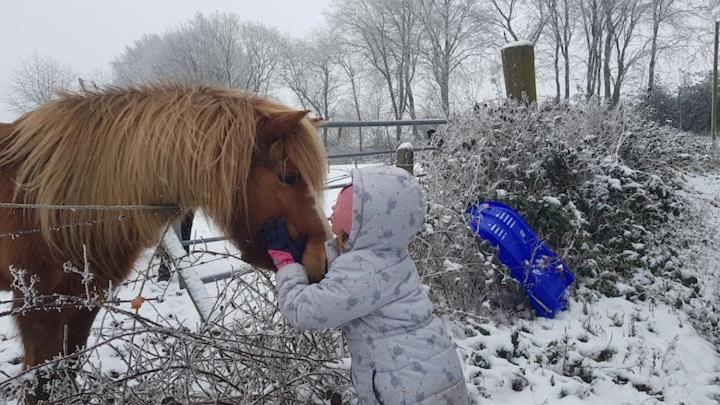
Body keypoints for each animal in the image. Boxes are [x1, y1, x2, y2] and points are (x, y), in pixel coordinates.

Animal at [0, 87, 330, 390]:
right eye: (288, 177)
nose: (321, 262)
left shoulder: (83, 302)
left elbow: (66, 372)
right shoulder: (37, 310)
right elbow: (42, 383)